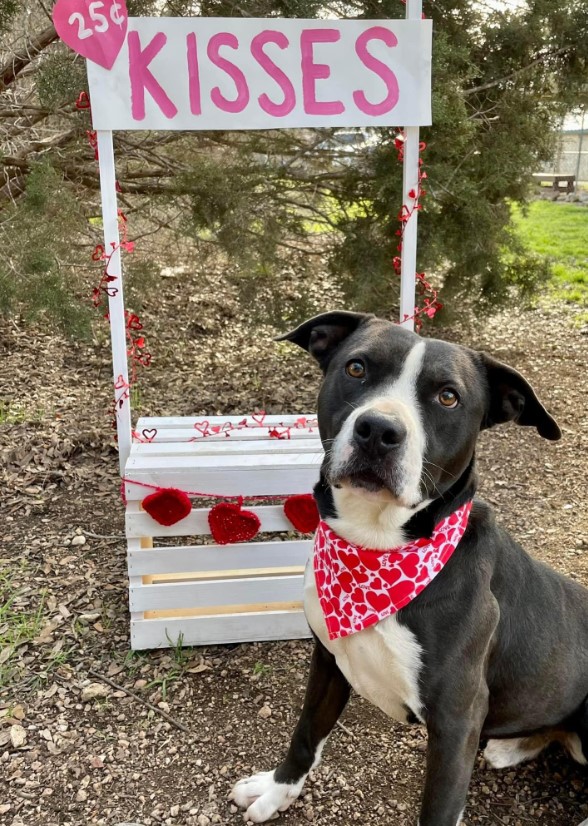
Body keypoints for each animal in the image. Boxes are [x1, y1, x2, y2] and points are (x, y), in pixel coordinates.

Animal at [231, 310, 588, 824]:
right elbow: (304, 735)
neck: (376, 549)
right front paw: (276, 791)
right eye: (357, 368)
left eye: (448, 396)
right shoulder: (328, 662)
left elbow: (438, 810)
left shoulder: (456, 722)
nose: (379, 431)